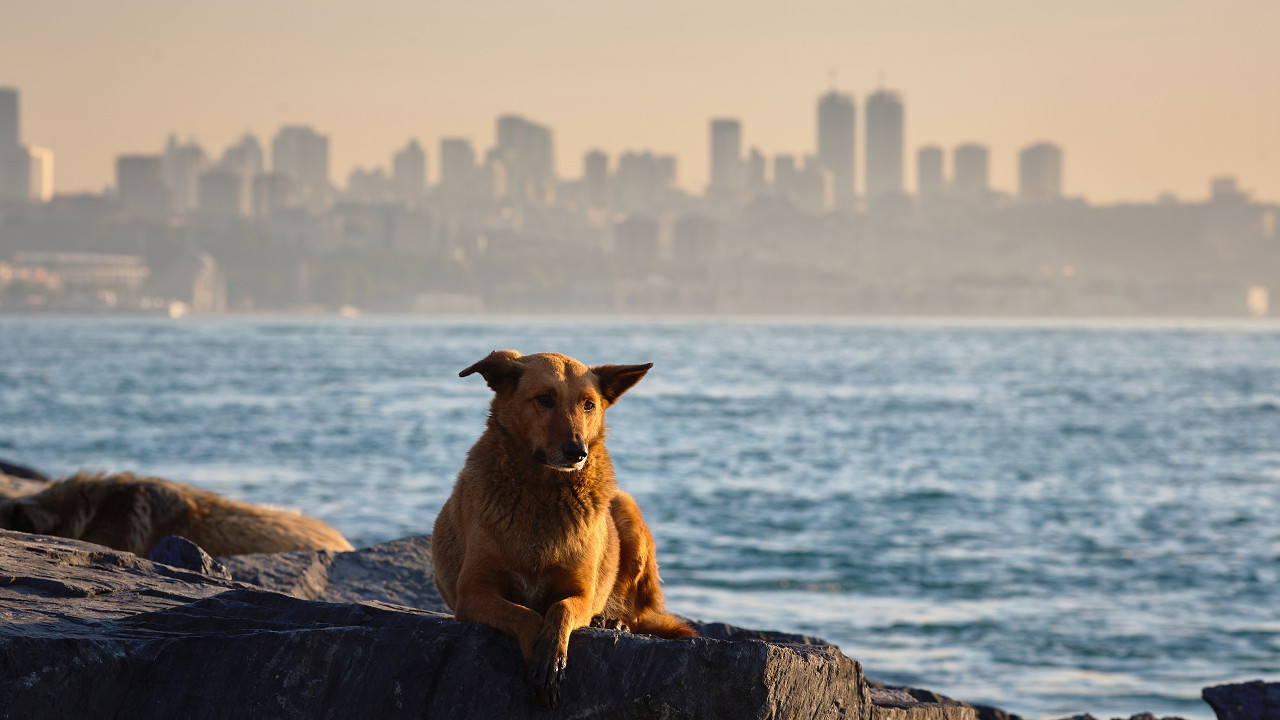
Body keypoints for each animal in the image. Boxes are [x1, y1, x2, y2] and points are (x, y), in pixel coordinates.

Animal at [430, 351, 696, 702]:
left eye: (589, 405)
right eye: (544, 399)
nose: (576, 452)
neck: (542, 492)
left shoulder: (581, 593)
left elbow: (561, 609)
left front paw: (553, 653)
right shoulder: (474, 593)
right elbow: (526, 614)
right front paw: (540, 654)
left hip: (627, 509)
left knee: (640, 612)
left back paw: (611, 622)